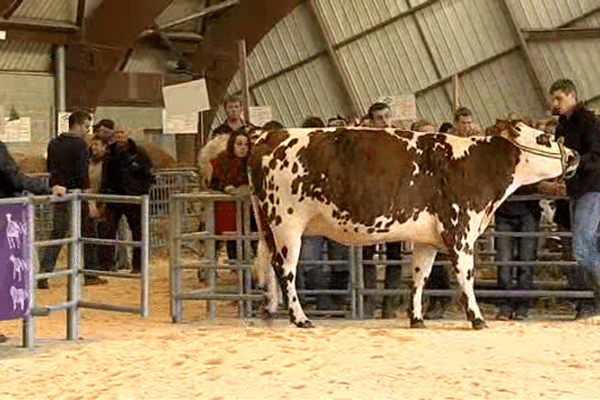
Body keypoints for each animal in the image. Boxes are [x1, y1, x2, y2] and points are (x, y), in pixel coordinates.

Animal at [247, 121, 576, 328]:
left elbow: (420, 276)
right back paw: (300, 318)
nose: (574, 155)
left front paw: (416, 318)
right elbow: (466, 277)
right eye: (544, 137)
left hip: (271, 227)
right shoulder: (460, 231)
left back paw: (270, 309)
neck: (475, 164)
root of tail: (265, 136)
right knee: (286, 270)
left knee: (273, 268)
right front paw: (477, 318)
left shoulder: (428, 240)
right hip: (288, 224)